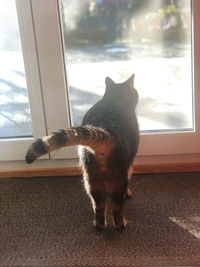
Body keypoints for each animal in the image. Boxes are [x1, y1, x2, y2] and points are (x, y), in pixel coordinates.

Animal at [25, 75, 140, 230]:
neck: (114, 99)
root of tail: (107, 131)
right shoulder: (130, 165)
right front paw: (128, 193)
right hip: (117, 179)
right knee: (116, 206)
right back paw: (121, 225)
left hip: (91, 180)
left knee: (99, 205)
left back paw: (99, 225)